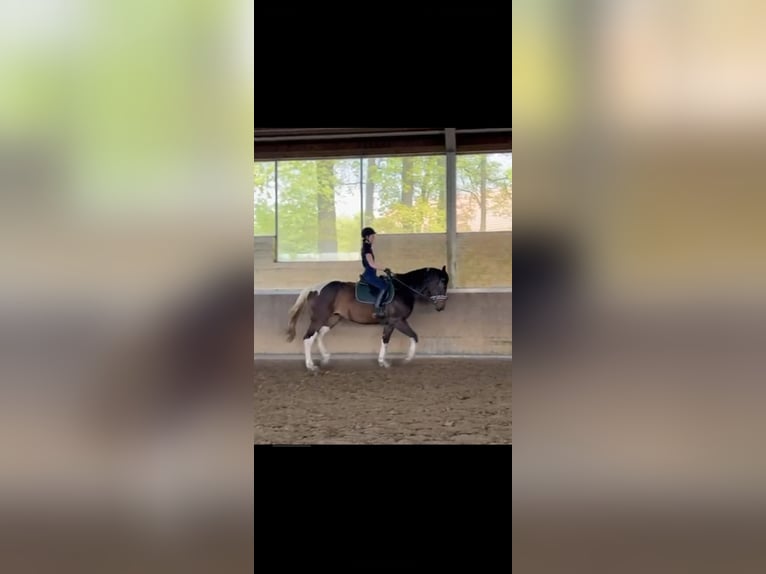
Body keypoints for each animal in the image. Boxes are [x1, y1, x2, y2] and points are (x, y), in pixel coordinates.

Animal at [286, 266, 450, 372]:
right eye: (442, 283)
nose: (441, 307)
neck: (402, 289)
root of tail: (313, 288)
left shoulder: (391, 323)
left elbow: (385, 340)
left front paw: (383, 361)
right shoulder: (397, 321)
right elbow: (413, 336)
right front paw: (407, 359)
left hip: (332, 319)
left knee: (319, 335)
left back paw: (325, 358)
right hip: (318, 319)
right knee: (308, 338)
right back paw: (311, 365)